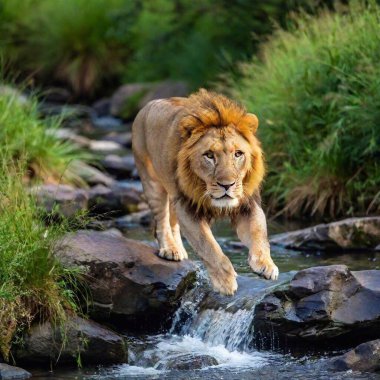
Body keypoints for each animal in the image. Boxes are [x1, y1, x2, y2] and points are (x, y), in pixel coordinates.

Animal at [132, 90, 278, 296]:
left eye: (238, 154)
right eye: (209, 155)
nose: (227, 185)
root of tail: (146, 106)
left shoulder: (248, 204)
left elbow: (259, 233)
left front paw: (266, 265)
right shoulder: (188, 207)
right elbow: (210, 247)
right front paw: (225, 281)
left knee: (173, 221)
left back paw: (179, 250)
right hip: (152, 181)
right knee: (161, 220)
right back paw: (170, 249)